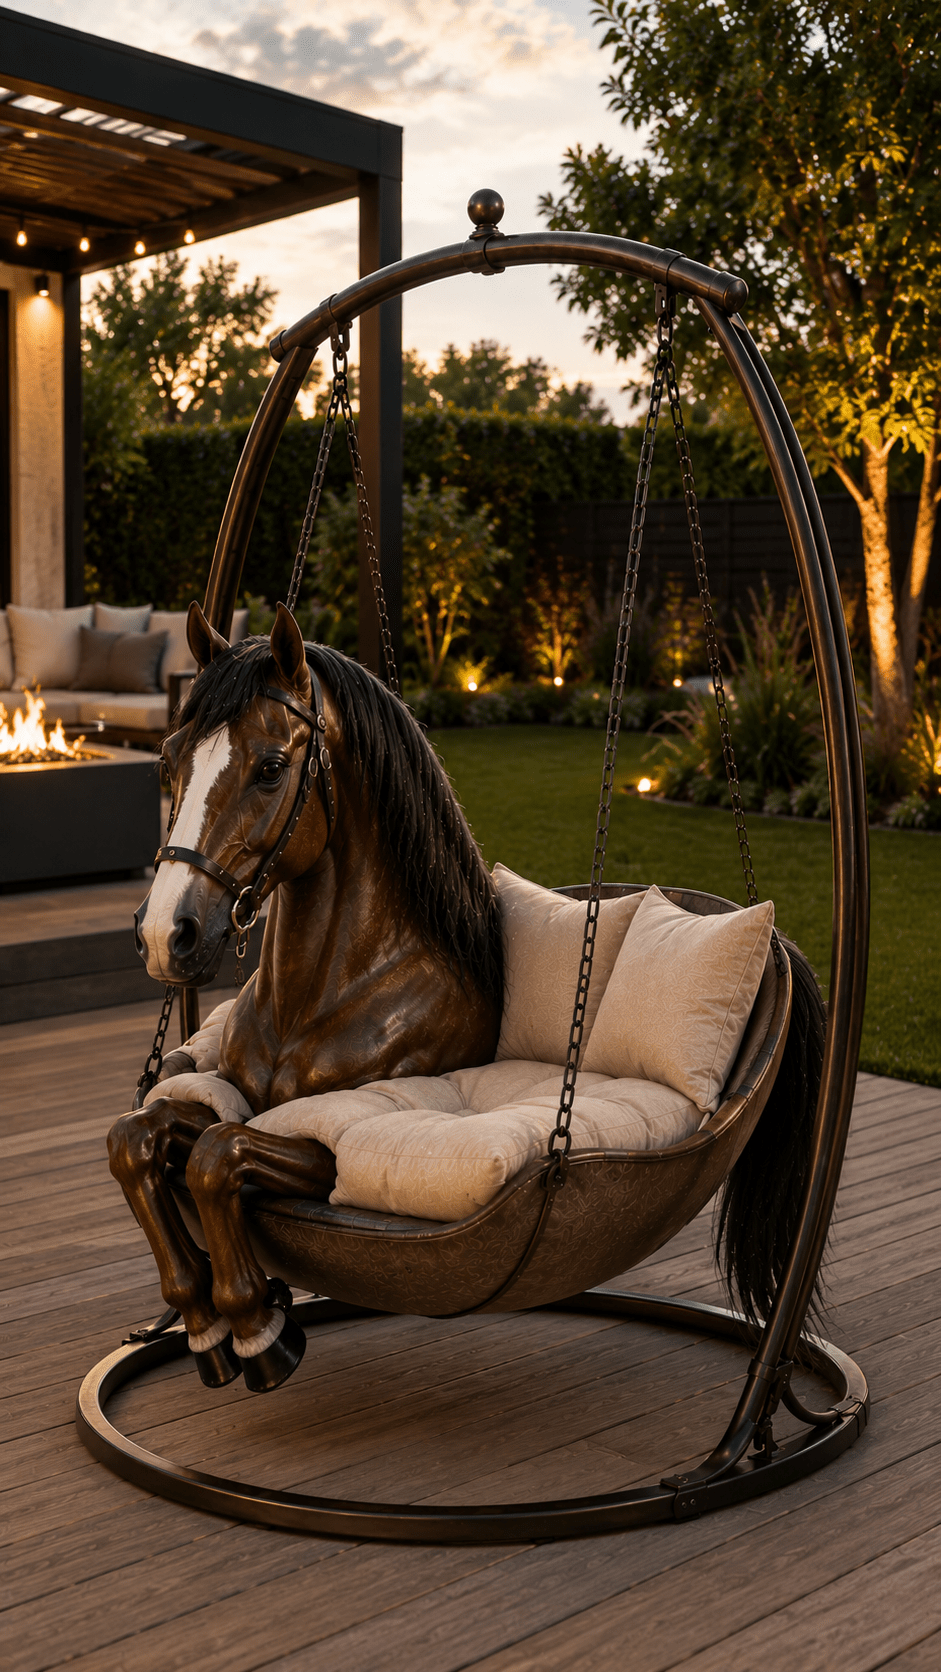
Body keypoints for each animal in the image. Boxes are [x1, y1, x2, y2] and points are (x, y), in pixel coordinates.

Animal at [108, 602, 504, 1391]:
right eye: (168, 761)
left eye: (269, 768)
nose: (168, 933)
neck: (324, 995)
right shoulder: (229, 1100)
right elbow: (136, 1137)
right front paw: (203, 1322)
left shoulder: (332, 1147)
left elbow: (215, 1158)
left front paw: (256, 1326)